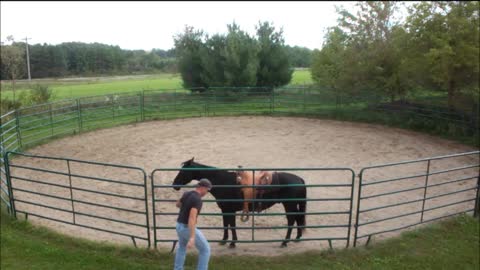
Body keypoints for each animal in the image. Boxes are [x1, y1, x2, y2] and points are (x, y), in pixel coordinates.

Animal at [172, 157, 308, 248]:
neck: (223, 181)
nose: (175, 185)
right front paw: (224, 240)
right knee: (297, 218)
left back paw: (285, 242)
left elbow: (231, 225)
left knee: (291, 220)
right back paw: (297, 237)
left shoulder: (229, 210)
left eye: (183, 171)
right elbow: (226, 224)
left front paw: (232, 243)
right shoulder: (225, 210)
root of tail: (299, 179)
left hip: (289, 205)